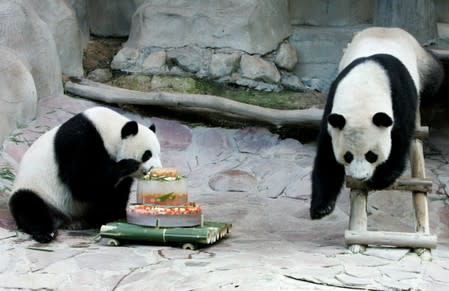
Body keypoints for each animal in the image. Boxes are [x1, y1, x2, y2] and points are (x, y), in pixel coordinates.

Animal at [8, 106, 162, 243]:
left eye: (158, 153)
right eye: (147, 154)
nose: (156, 169)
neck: (108, 130)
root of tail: (63, 219)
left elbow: (114, 194)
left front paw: (115, 217)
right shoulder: (79, 142)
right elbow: (82, 184)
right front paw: (128, 164)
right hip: (38, 189)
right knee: (28, 205)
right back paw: (45, 233)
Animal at [310, 27, 442, 220]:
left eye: (371, 155)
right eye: (348, 155)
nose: (360, 177)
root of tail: (387, 28)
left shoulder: (399, 96)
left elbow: (399, 139)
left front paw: (381, 178)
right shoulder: (333, 110)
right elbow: (326, 155)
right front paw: (321, 207)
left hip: (420, 59)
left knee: (435, 78)